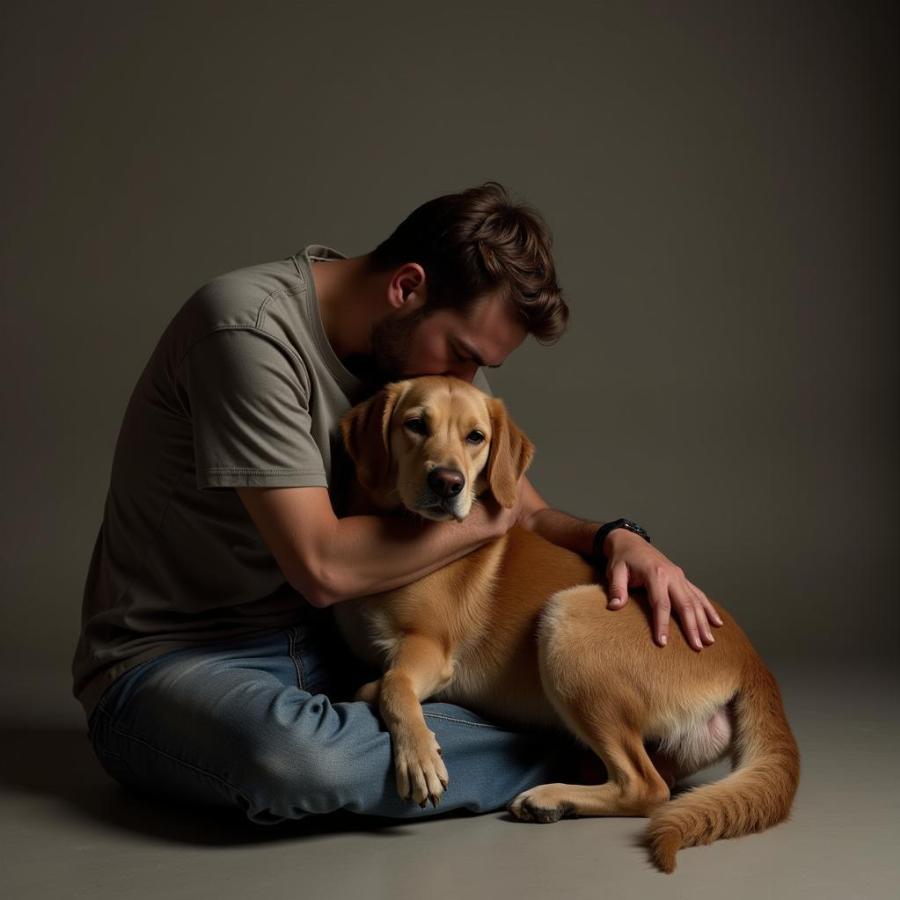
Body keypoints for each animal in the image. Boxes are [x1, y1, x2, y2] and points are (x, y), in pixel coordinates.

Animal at [334, 374, 800, 872]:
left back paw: (552, 799)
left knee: (647, 787)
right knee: (659, 778)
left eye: (476, 437)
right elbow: (381, 679)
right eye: (415, 424)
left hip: (566, 622)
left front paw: (416, 754)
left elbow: (394, 684)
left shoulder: (430, 648)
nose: (447, 482)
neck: (398, 531)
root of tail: (752, 660)